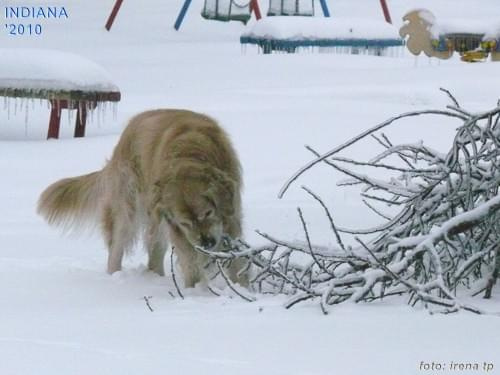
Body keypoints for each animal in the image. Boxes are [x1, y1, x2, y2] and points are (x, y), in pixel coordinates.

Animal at [37, 108, 248, 288]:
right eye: (185, 223)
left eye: (208, 212)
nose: (207, 243)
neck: (191, 152)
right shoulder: (178, 229)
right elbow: (190, 260)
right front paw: (198, 293)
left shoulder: (231, 214)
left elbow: (238, 259)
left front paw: (243, 287)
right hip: (128, 209)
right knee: (116, 249)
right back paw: (115, 279)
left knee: (154, 254)